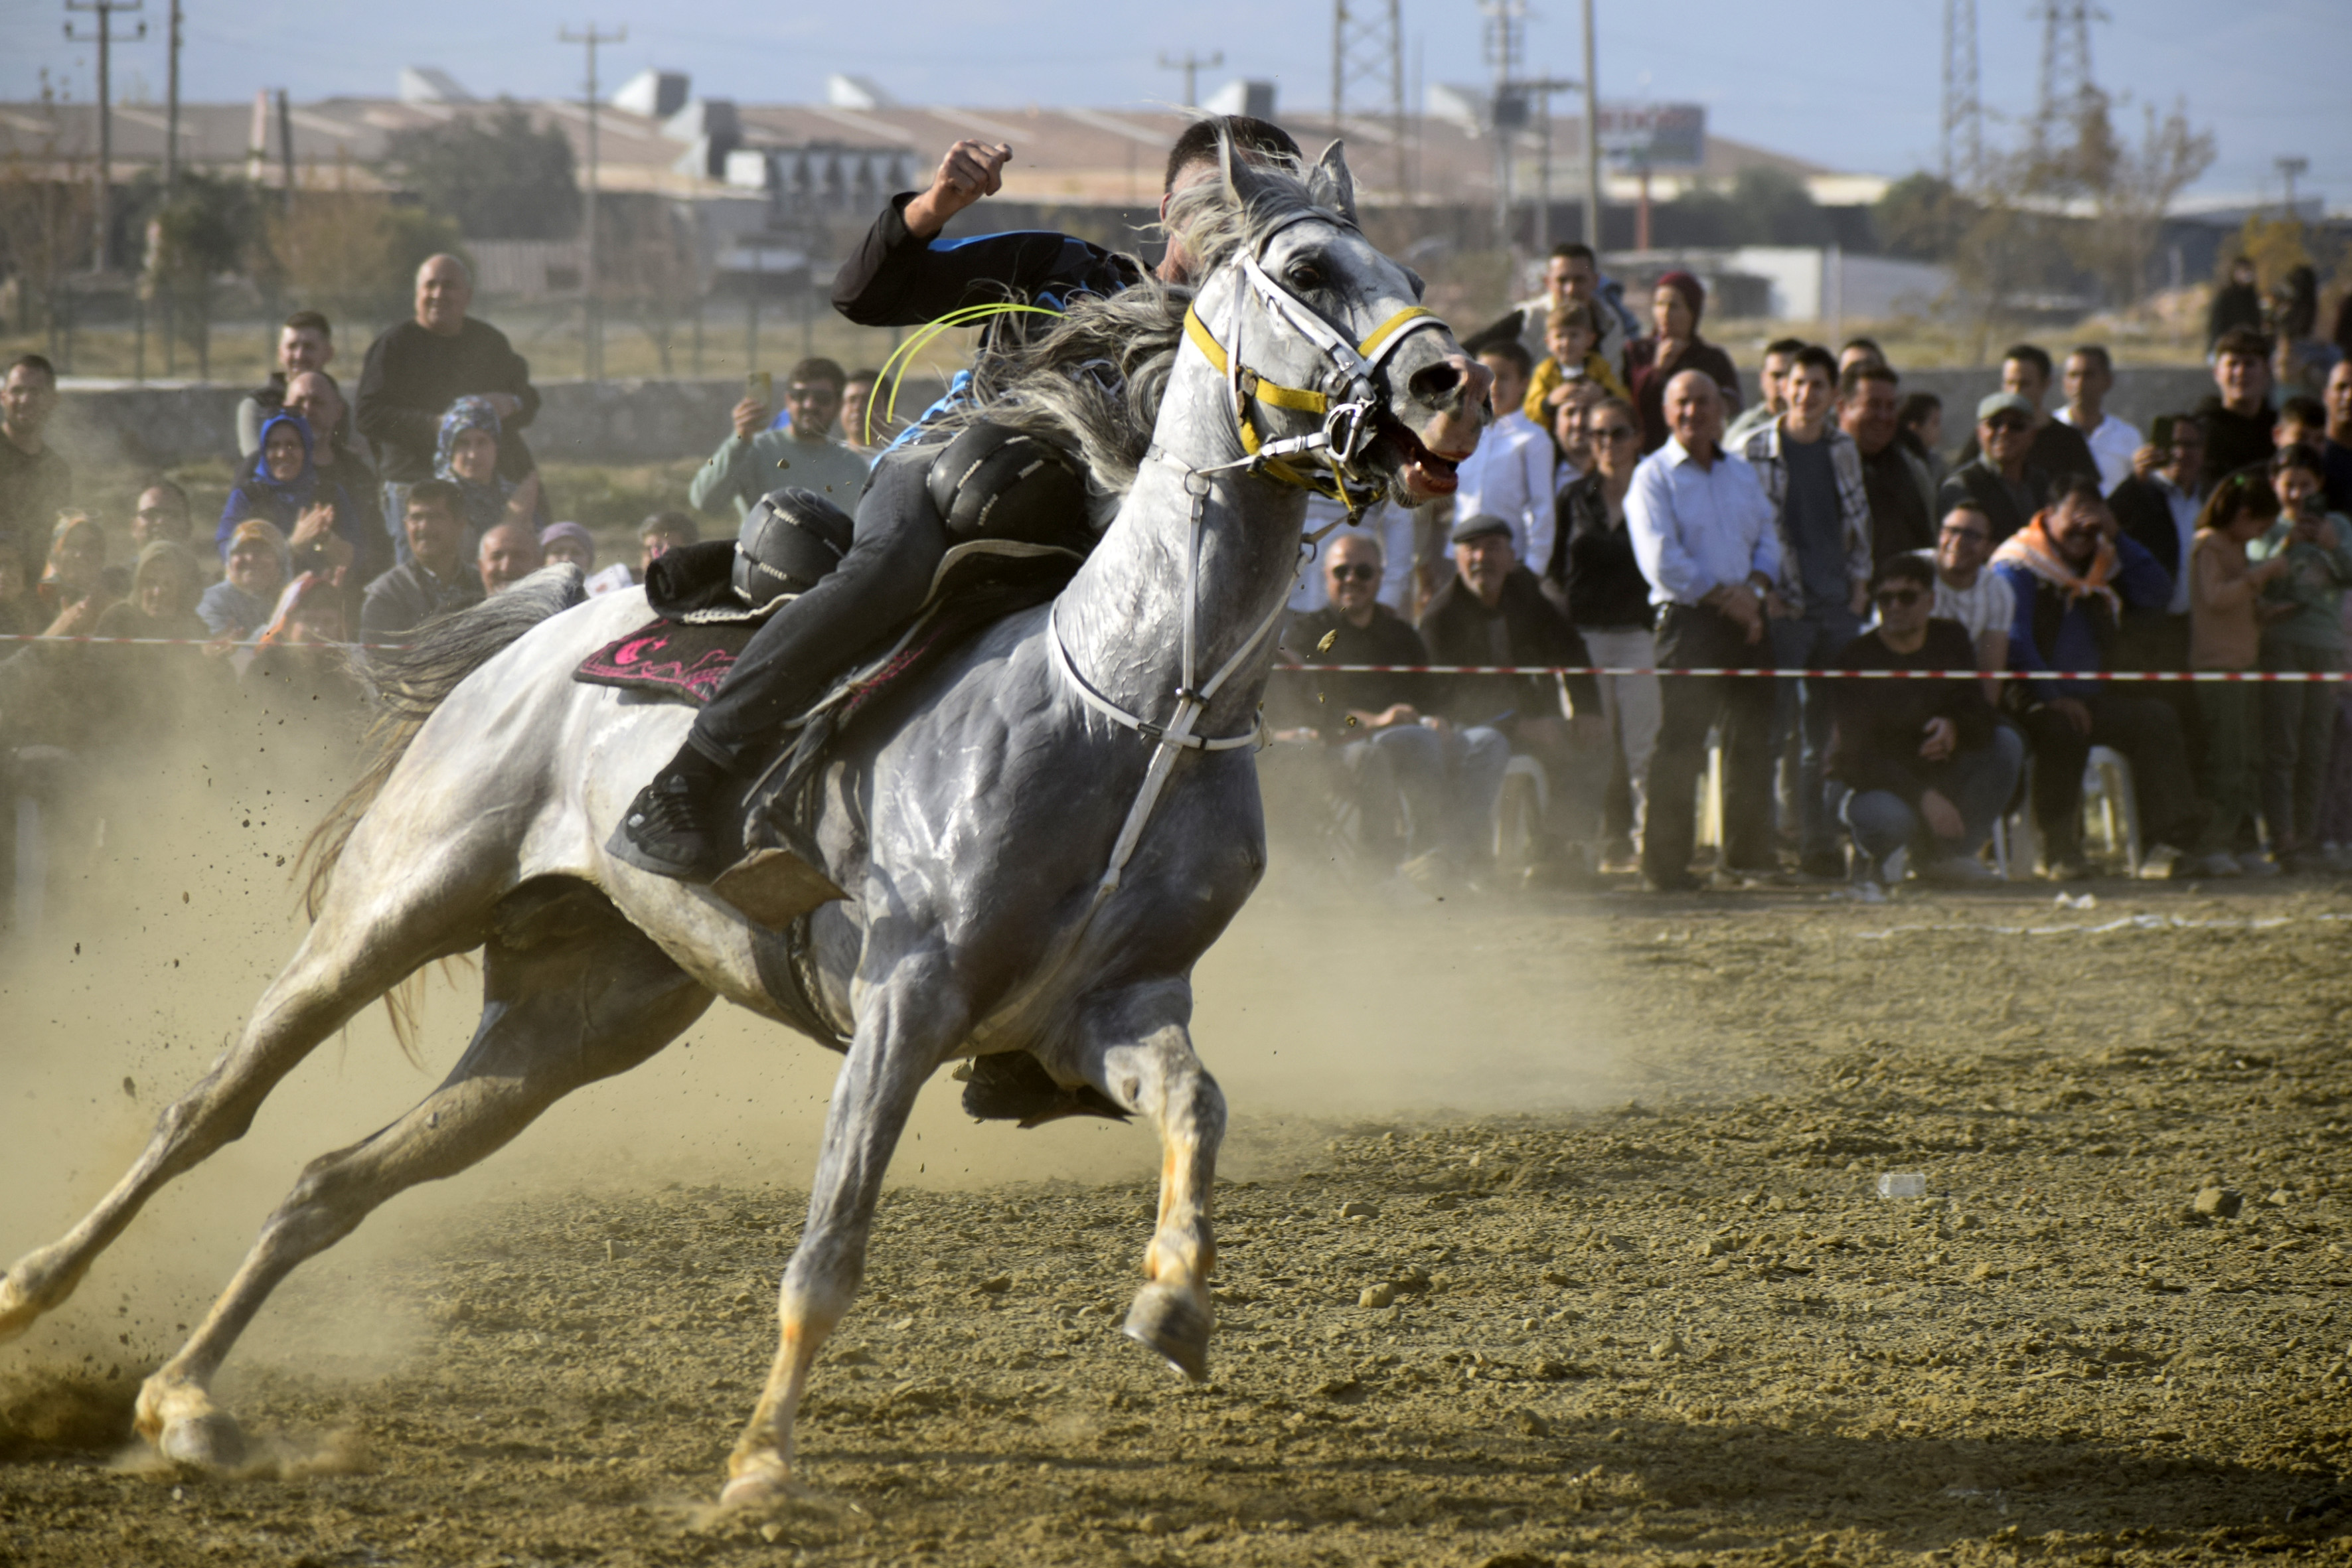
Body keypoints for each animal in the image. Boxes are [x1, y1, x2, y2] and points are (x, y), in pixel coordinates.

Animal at [0, 147, 1496, 1504]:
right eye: (1309, 270)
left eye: (1414, 278)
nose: (1447, 388)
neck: (1130, 701)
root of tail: (560, 618)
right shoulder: (906, 995)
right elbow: (827, 1247)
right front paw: (762, 1461)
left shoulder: (1106, 1011)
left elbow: (1199, 1102)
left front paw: (1173, 1302)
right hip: (393, 904)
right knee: (211, 1109)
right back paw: (37, 1295)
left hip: (570, 1022)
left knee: (327, 1180)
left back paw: (185, 1400)